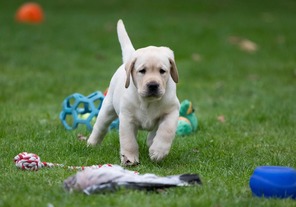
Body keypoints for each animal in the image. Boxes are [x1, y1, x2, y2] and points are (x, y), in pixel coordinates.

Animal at [86, 19, 179, 165]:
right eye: (142, 71)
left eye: (162, 71)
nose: (153, 85)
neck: (148, 102)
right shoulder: (127, 118)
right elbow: (128, 141)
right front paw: (129, 158)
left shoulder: (172, 110)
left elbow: (166, 130)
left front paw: (158, 151)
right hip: (107, 109)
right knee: (100, 127)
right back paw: (92, 143)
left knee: (154, 132)